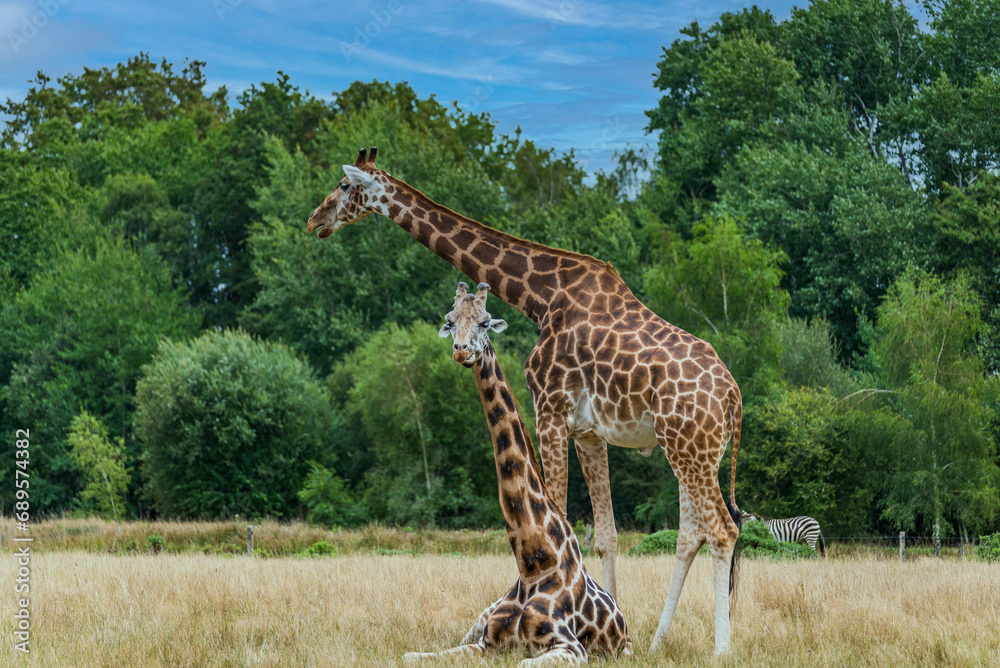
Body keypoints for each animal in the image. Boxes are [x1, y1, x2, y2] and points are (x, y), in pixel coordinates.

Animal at [404, 281, 632, 665]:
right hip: (479, 617)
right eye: (450, 320)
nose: (461, 352)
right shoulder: (485, 643)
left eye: (484, 322)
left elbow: (526, 659)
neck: (532, 564)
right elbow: (412, 655)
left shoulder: (571, 648)